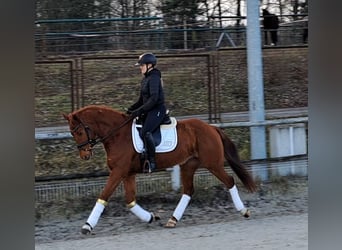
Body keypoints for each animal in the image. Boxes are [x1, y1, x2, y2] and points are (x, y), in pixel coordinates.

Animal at [63, 104, 256, 233]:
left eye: (78, 132)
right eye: (72, 133)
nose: (85, 155)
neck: (117, 134)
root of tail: (212, 128)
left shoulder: (118, 172)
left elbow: (103, 196)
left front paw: (87, 226)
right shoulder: (128, 173)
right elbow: (130, 201)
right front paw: (150, 217)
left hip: (213, 164)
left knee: (229, 181)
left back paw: (244, 211)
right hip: (189, 165)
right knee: (188, 191)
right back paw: (172, 220)